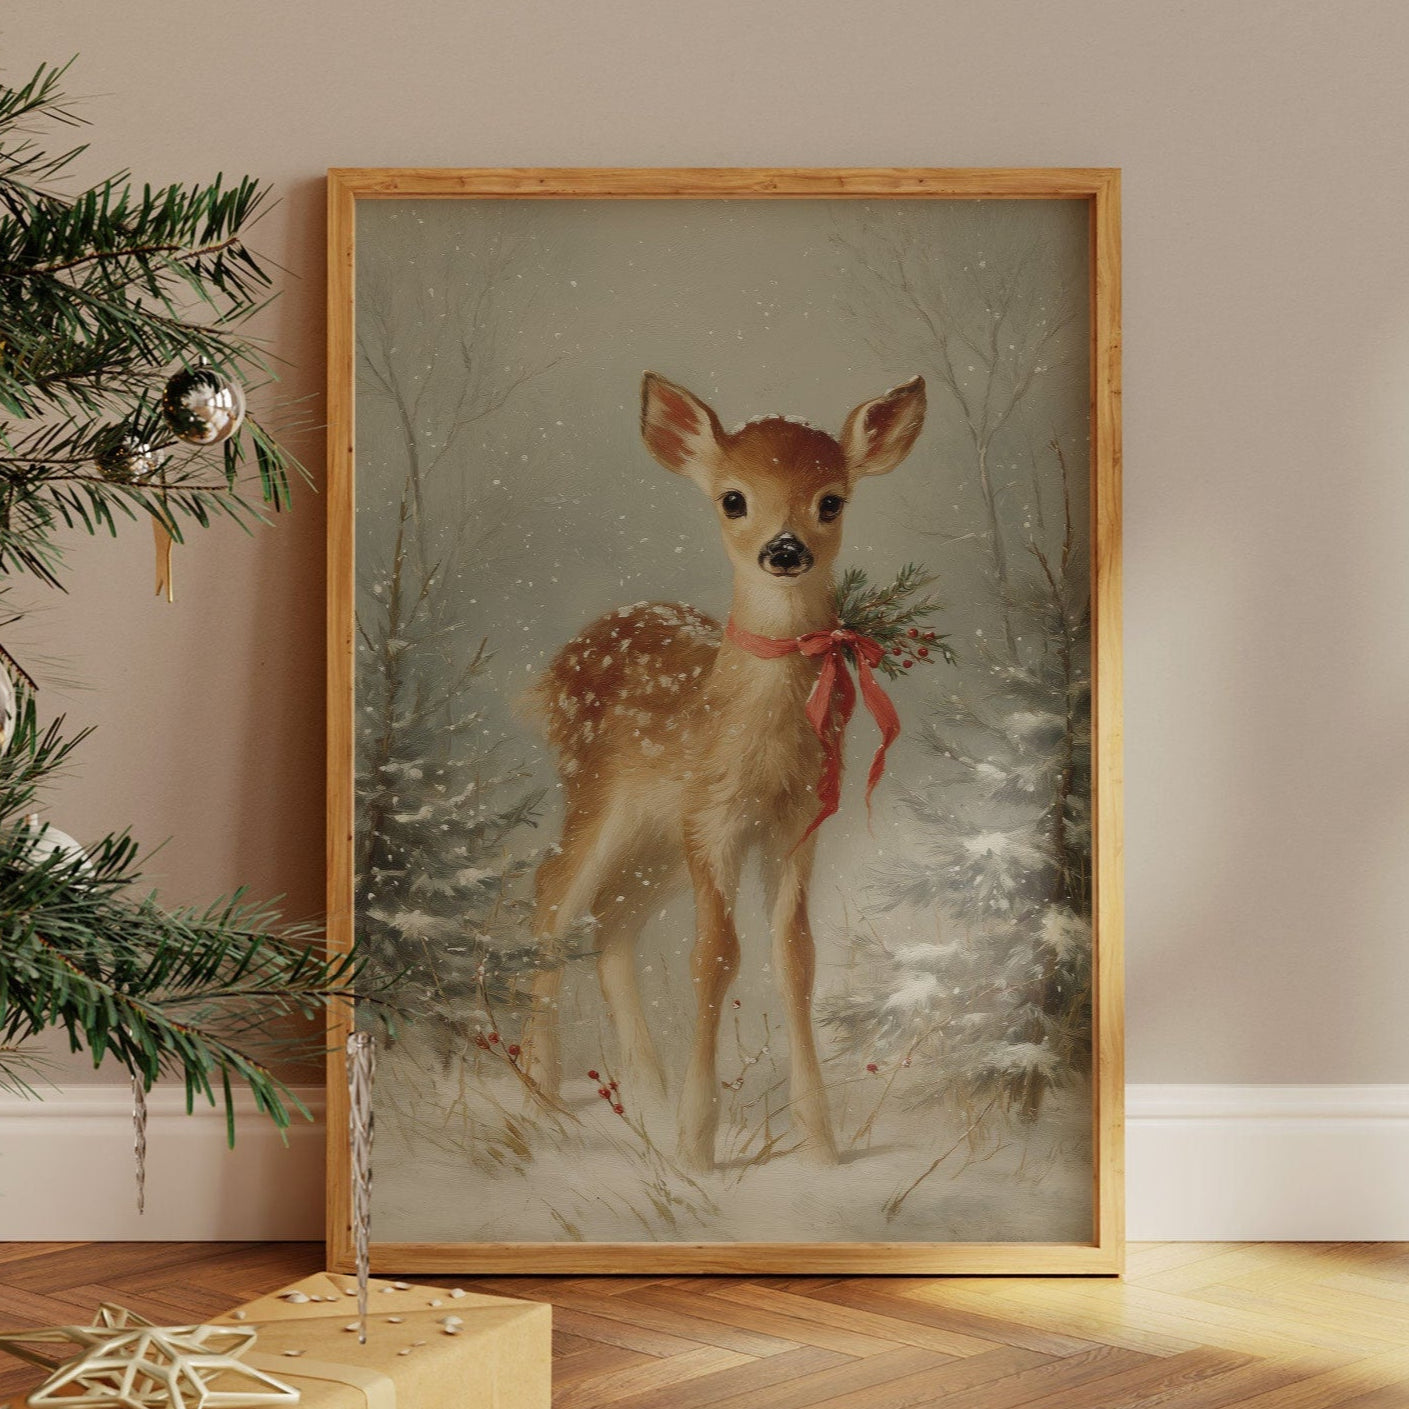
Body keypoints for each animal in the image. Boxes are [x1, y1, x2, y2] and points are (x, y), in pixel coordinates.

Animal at [520, 371, 927, 1172]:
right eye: (733, 498)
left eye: (831, 499)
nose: (785, 548)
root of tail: (558, 666)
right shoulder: (715, 821)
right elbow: (715, 956)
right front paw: (698, 1144)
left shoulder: (795, 823)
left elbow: (794, 957)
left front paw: (820, 1144)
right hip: (600, 794)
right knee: (550, 894)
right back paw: (541, 1089)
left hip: (658, 839)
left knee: (612, 920)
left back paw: (644, 1091)